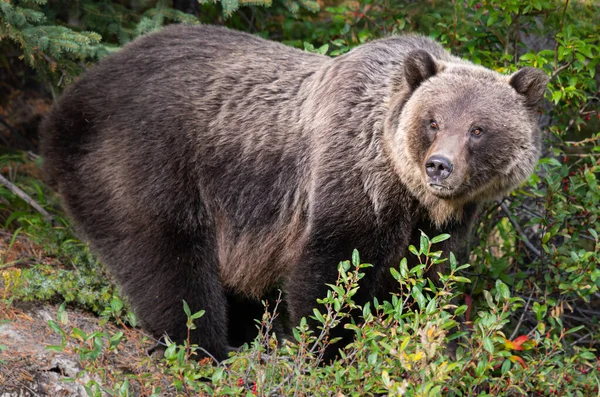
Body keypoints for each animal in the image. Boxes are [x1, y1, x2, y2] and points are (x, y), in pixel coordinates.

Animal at [39, 23, 552, 360]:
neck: (406, 192)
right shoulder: (350, 183)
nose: (439, 166)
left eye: (478, 129)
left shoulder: (435, 227)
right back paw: (205, 347)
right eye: (433, 121)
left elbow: (422, 283)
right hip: (148, 162)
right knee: (168, 259)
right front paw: (326, 348)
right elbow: (331, 274)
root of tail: (73, 97)